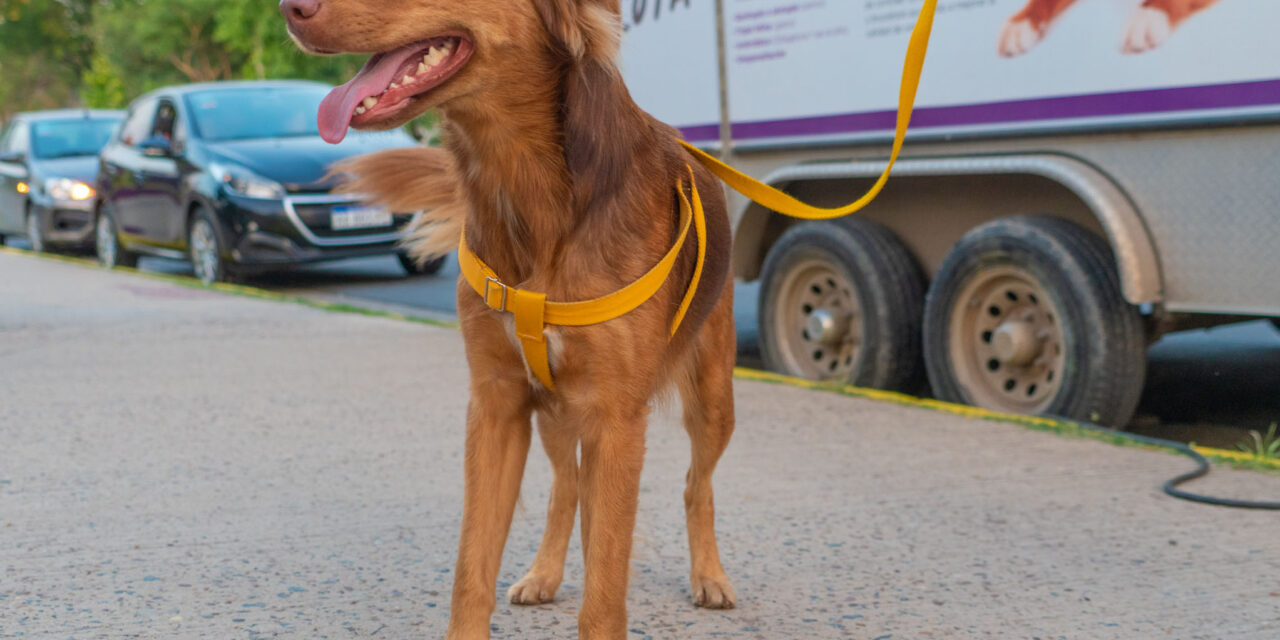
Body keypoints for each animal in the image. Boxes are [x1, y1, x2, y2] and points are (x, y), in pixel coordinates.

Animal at [284, 1, 737, 640]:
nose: (289, 10)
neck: (520, 182)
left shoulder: (615, 418)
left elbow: (604, 595)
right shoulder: (496, 402)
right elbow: (471, 571)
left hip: (712, 397)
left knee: (697, 485)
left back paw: (710, 576)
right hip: (553, 411)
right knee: (568, 489)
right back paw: (545, 572)